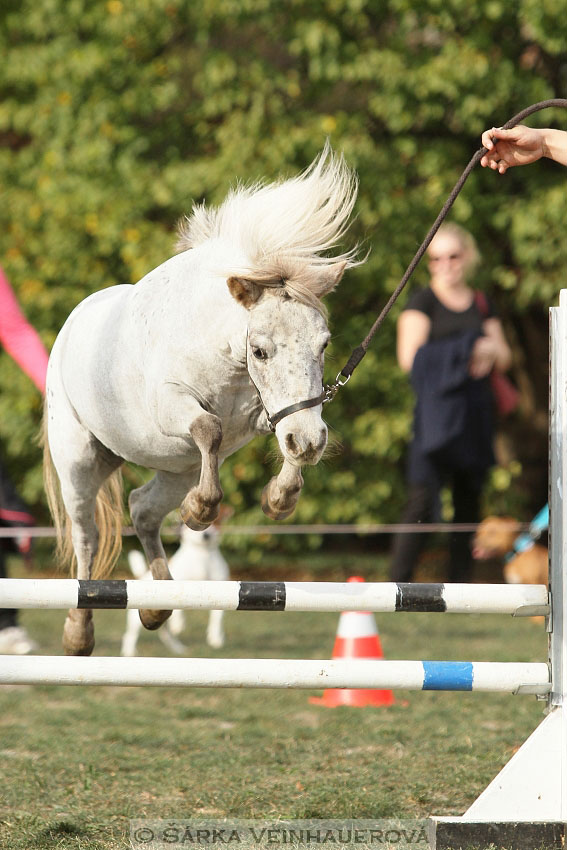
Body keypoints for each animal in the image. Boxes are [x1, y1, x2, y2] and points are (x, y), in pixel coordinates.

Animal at [121, 524, 230, 656]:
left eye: (216, 525)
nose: (206, 535)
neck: (202, 554)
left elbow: (217, 618)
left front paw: (216, 638)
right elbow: (179, 609)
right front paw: (179, 624)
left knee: (166, 635)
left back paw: (178, 649)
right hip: (137, 620)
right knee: (130, 635)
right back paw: (129, 652)